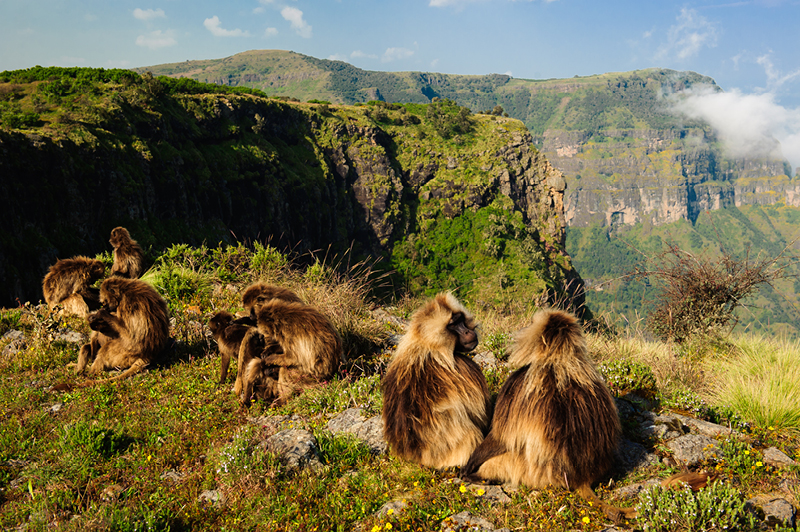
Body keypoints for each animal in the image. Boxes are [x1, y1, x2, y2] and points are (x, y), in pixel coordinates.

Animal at [382, 290, 490, 470]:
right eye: (453, 325)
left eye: (461, 320)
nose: (468, 332)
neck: (429, 345)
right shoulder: (465, 367)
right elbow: (479, 413)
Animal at [460, 310, 636, 520]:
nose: (522, 328)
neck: (560, 361)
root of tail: (582, 478)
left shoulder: (518, 381)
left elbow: (500, 437)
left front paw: (467, 467)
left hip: (527, 470)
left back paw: (479, 477)